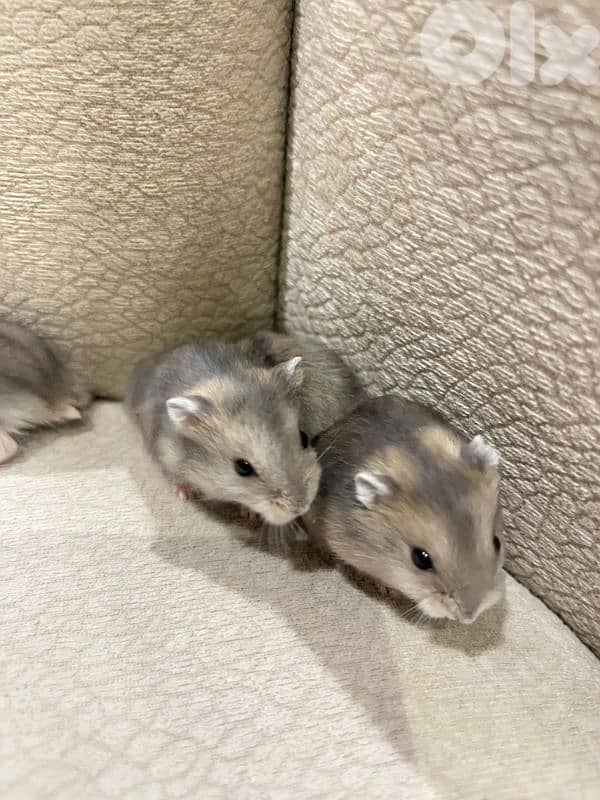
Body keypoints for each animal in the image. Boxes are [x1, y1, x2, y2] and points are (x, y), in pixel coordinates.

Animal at [126, 340, 321, 526]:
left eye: (304, 437)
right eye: (243, 467)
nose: (302, 507)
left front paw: (250, 514)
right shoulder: (167, 454)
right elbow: (177, 477)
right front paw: (184, 495)